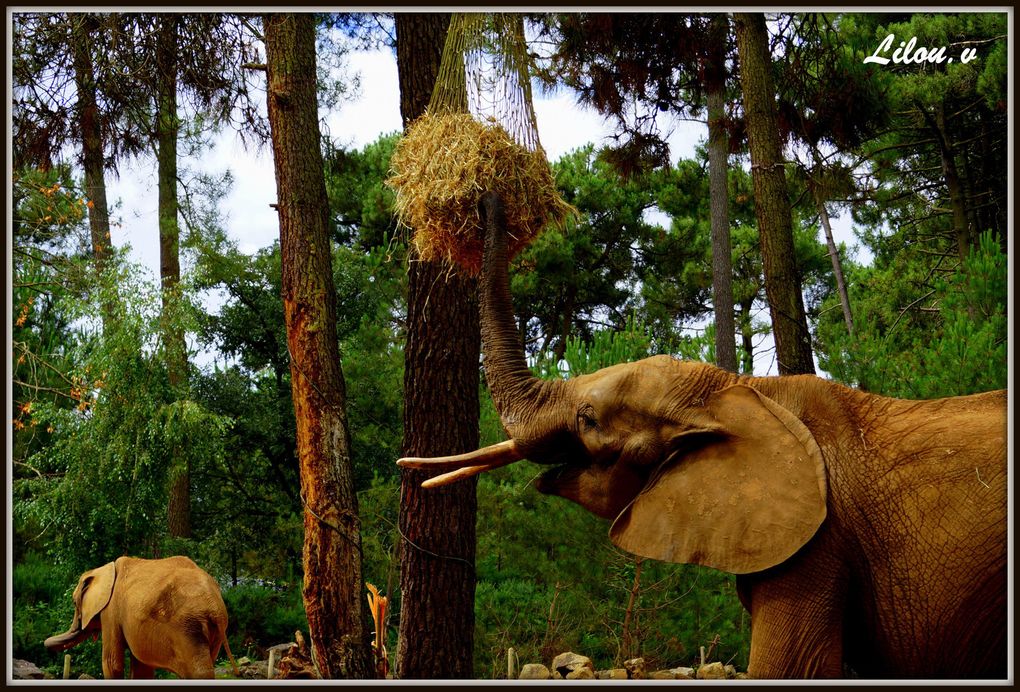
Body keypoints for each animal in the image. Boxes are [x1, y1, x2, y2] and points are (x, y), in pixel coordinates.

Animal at [44, 555, 238, 681]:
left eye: (74, 602)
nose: (45, 643)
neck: (105, 569)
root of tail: (215, 607)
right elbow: (141, 669)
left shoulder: (111, 610)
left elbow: (111, 663)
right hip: (211, 632)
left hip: (188, 626)